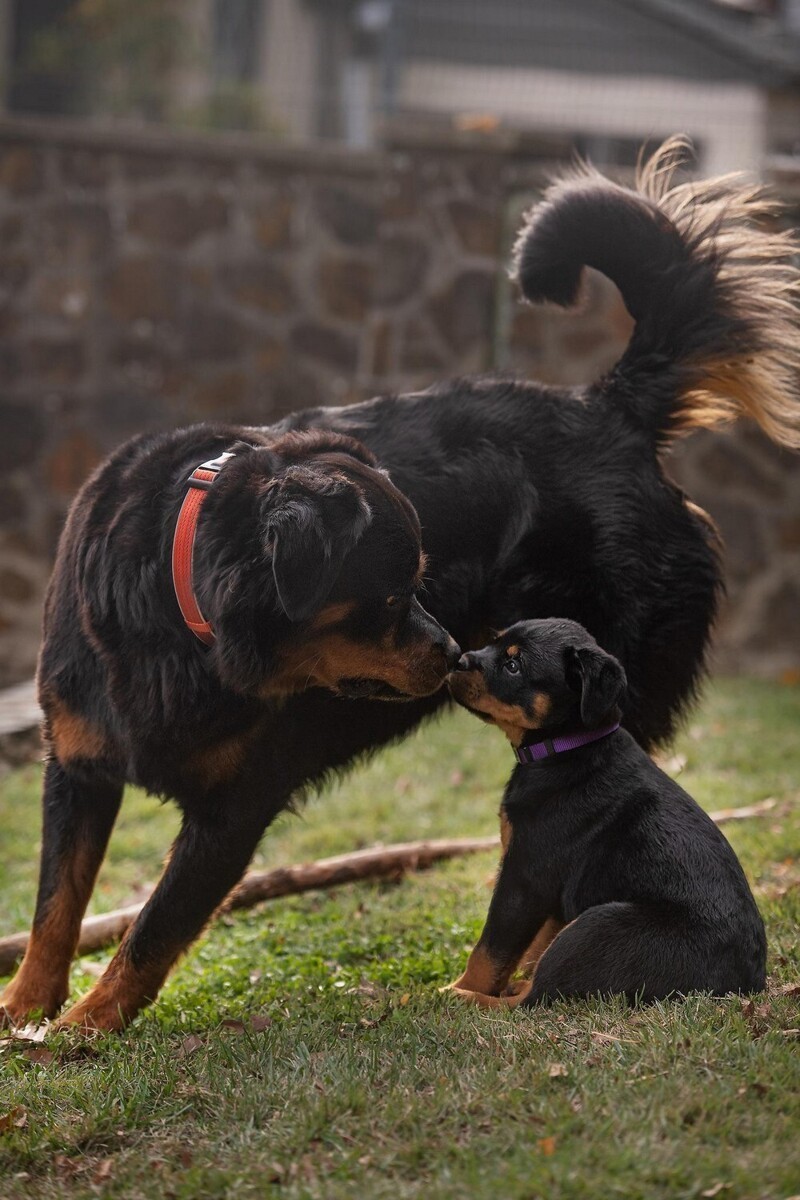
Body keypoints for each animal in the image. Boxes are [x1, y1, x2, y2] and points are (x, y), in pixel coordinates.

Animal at [448, 624, 767, 1008]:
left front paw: (460, 985)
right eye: (494, 642)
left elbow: (490, 950)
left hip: (599, 924)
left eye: (514, 665)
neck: (568, 747)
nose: (458, 659)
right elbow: (535, 942)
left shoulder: (524, 875)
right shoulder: (550, 889)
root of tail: (748, 984)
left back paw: (457, 997)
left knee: (535, 999)